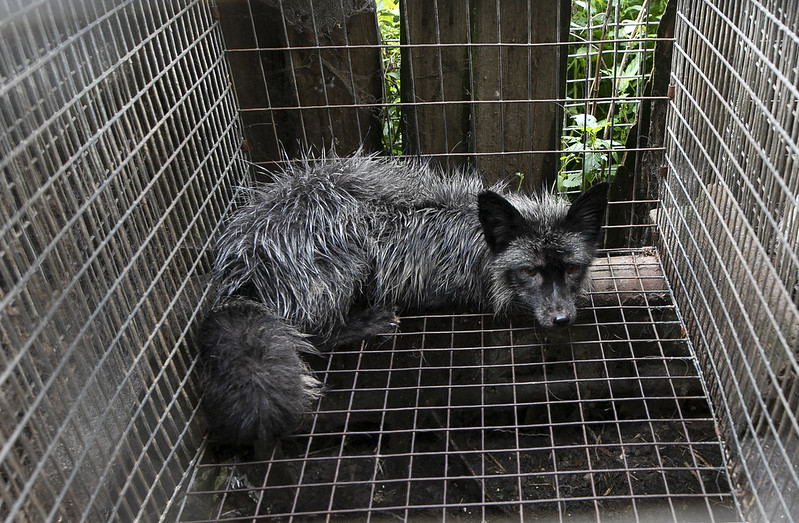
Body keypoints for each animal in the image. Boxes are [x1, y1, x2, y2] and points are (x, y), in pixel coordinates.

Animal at [197, 154, 608, 448]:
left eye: (572, 268)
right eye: (531, 271)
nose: (561, 320)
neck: (472, 239)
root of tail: (243, 268)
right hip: (352, 248)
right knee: (315, 333)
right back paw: (369, 322)